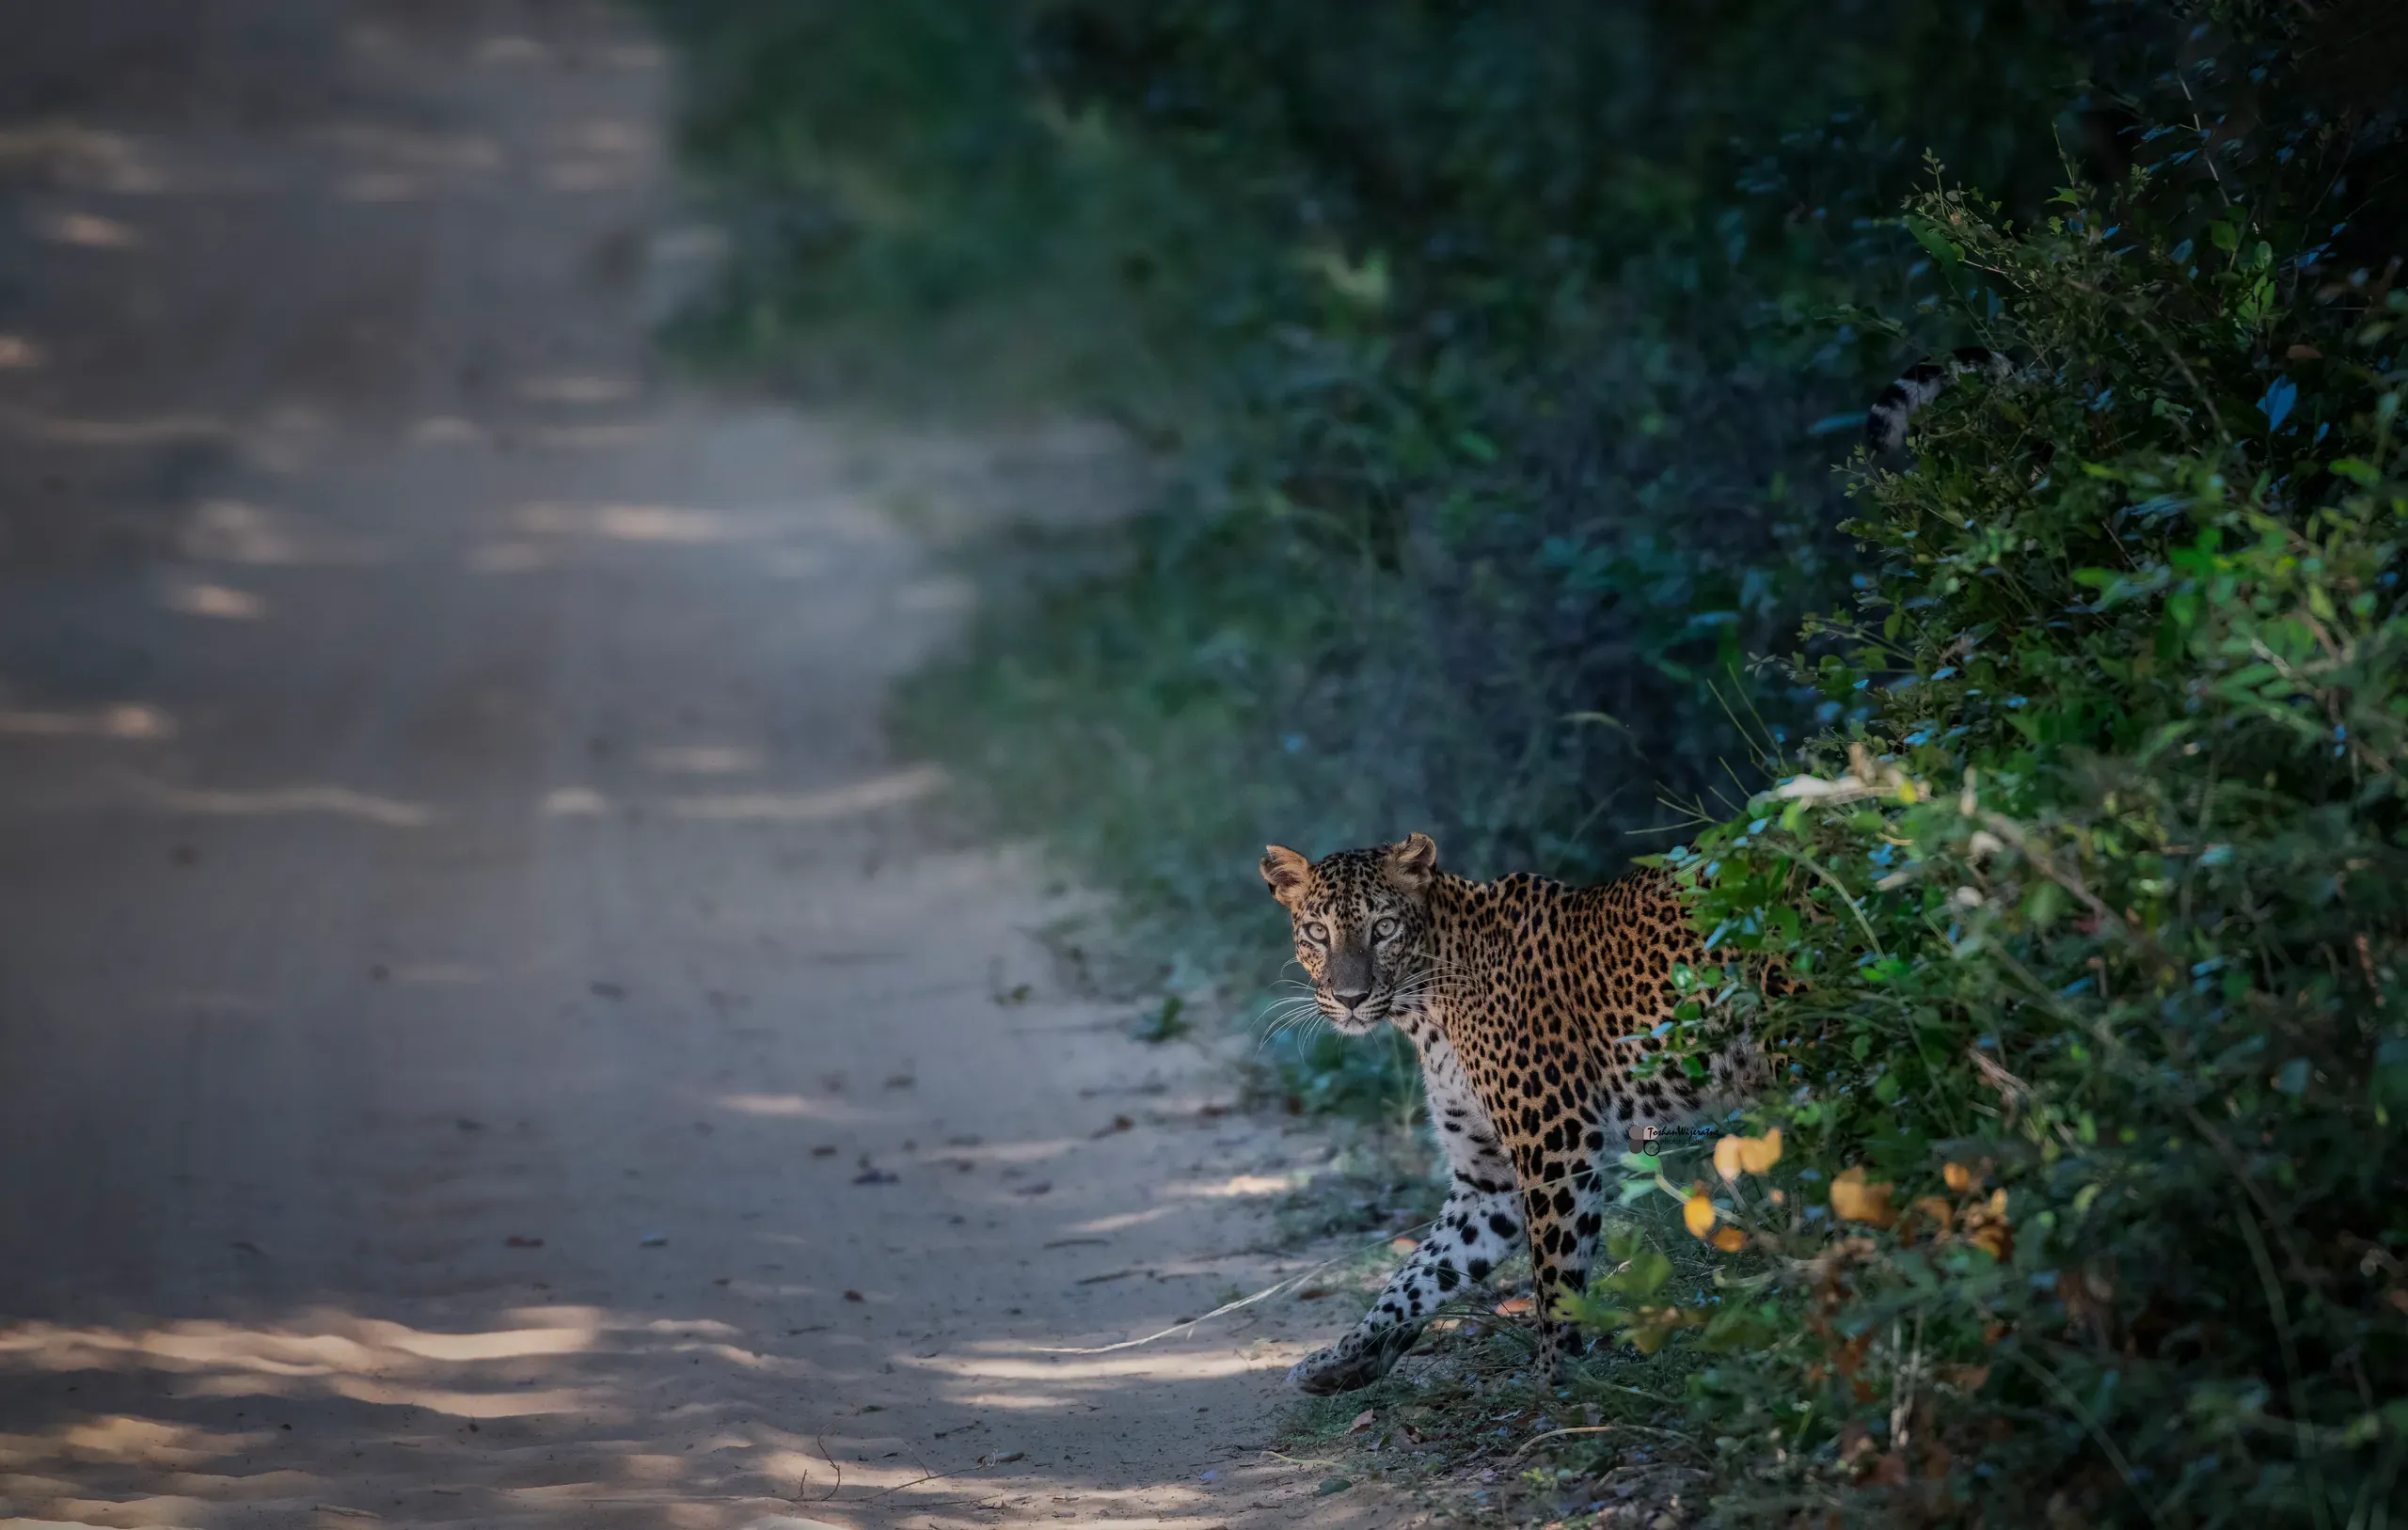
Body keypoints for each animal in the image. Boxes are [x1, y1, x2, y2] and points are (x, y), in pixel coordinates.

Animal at [1259, 833, 1765, 1395]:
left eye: (1384, 927)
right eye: (1318, 932)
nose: (1352, 998)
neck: (1424, 1012)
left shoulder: (1554, 1139)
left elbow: (1554, 1268)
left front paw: (1552, 1378)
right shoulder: (1487, 1181)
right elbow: (1421, 1273)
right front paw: (1345, 1358)